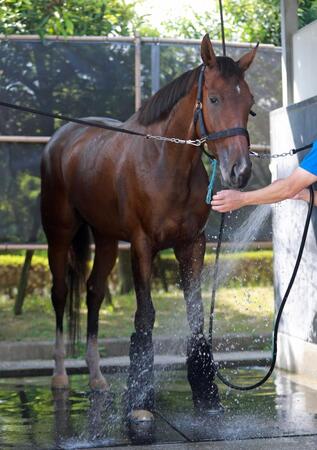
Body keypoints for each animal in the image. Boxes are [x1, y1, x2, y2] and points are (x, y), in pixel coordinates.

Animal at [39, 35, 256, 418]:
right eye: (214, 98)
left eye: (249, 103)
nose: (240, 171)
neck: (165, 163)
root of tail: (59, 139)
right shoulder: (142, 245)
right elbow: (145, 315)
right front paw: (140, 400)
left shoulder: (192, 244)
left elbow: (195, 312)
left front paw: (206, 393)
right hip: (59, 235)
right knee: (61, 293)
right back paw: (61, 374)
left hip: (106, 239)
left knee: (94, 292)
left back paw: (96, 377)